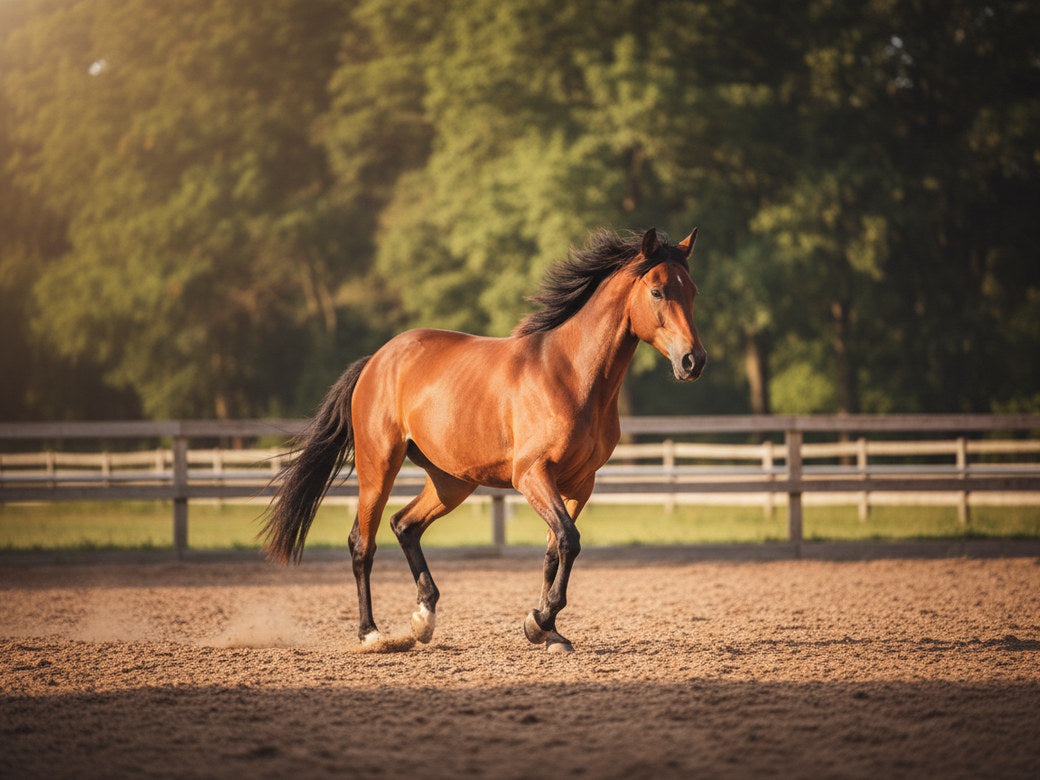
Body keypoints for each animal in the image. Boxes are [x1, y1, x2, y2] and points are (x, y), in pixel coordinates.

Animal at [259, 227, 707, 652]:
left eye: (692, 290)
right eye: (657, 290)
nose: (693, 361)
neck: (571, 375)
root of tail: (377, 360)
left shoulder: (580, 483)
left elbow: (555, 550)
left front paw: (549, 632)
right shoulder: (532, 475)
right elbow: (568, 540)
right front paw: (539, 621)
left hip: (452, 481)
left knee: (405, 525)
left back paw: (424, 618)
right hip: (379, 466)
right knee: (361, 543)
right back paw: (371, 633)